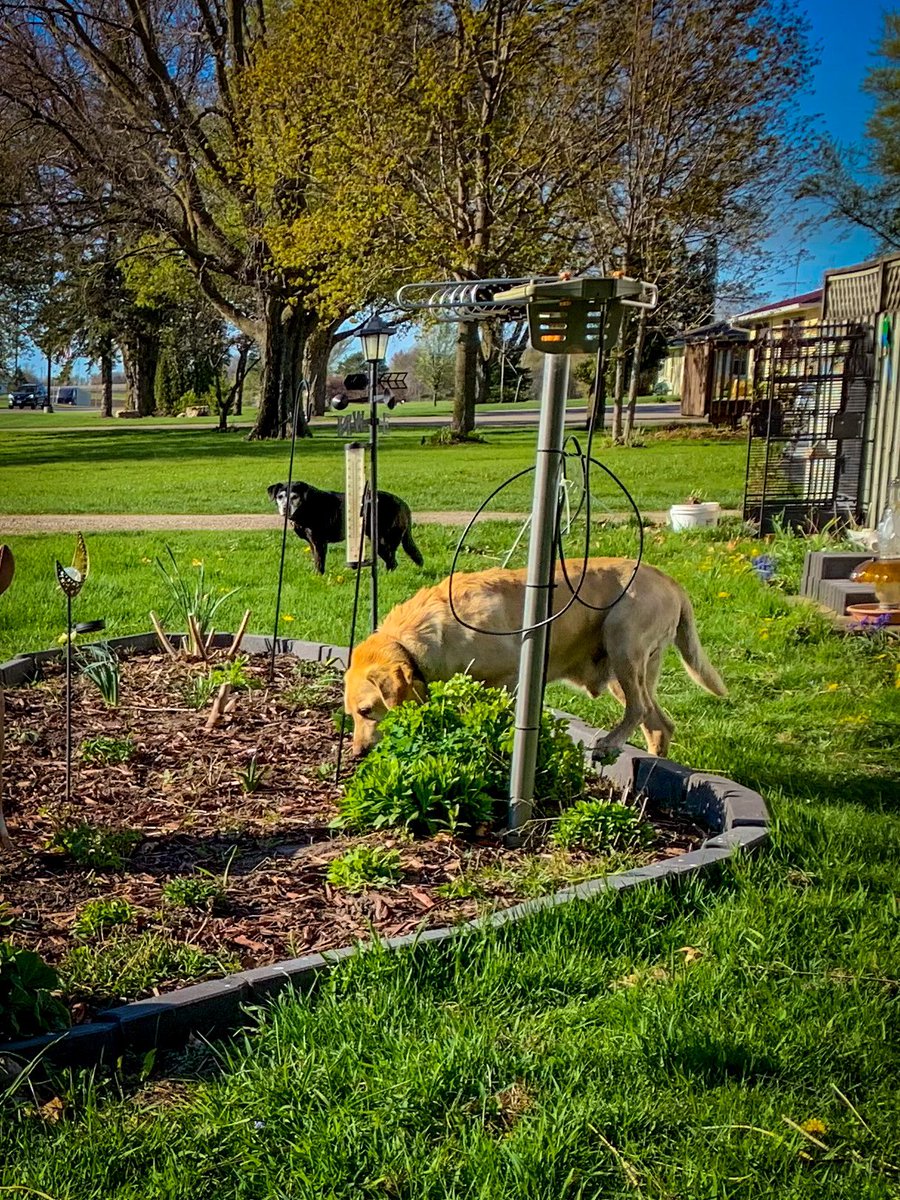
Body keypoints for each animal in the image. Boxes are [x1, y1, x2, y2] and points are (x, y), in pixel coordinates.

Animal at [267, 480, 427, 573]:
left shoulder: (319, 542)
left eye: (295, 497)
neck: (306, 506)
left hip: (382, 540)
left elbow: (319, 561)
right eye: (280, 497)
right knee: (391, 561)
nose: (285, 508)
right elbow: (316, 560)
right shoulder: (312, 543)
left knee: (392, 562)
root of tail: (403, 504)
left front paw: (318, 576)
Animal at [345, 554, 724, 758]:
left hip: (622, 640)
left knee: (641, 709)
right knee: (659, 724)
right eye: (350, 715)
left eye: (366, 711)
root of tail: (671, 582)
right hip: (625, 671)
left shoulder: (510, 679)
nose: (357, 753)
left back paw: (608, 743)